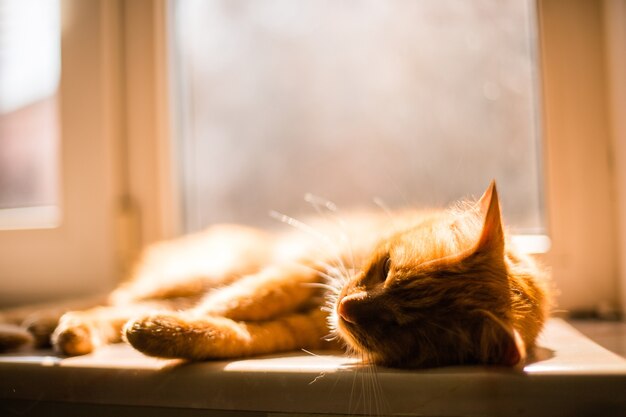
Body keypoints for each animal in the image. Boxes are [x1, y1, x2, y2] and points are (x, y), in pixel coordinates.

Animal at [0, 182, 544, 368]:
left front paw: (167, 335)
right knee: (112, 299)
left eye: (401, 327)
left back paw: (67, 332)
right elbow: (242, 301)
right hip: (203, 270)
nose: (345, 308)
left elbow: (226, 334)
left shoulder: (294, 330)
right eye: (385, 269)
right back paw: (41, 324)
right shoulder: (306, 265)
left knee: (119, 309)